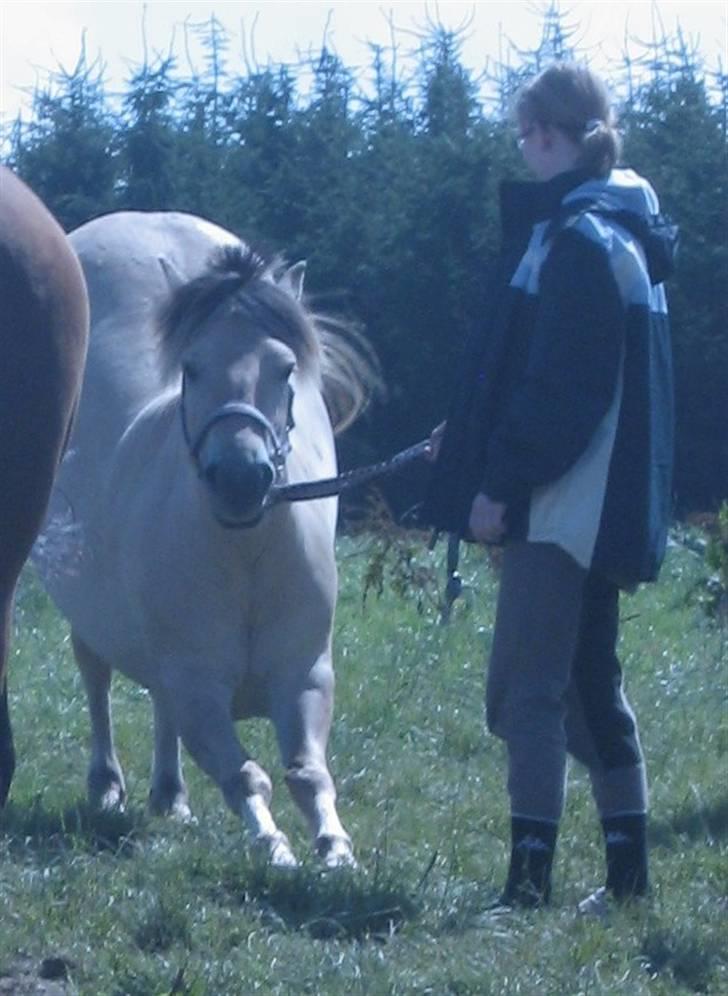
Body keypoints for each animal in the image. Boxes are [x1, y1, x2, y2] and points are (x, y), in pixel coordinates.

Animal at [37, 214, 376, 868]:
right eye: (190, 368)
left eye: (286, 369)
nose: (240, 478)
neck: (246, 557)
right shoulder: (198, 686)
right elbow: (246, 775)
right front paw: (275, 847)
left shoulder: (305, 676)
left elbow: (308, 774)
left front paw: (337, 851)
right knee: (97, 678)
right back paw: (108, 786)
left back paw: (170, 796)